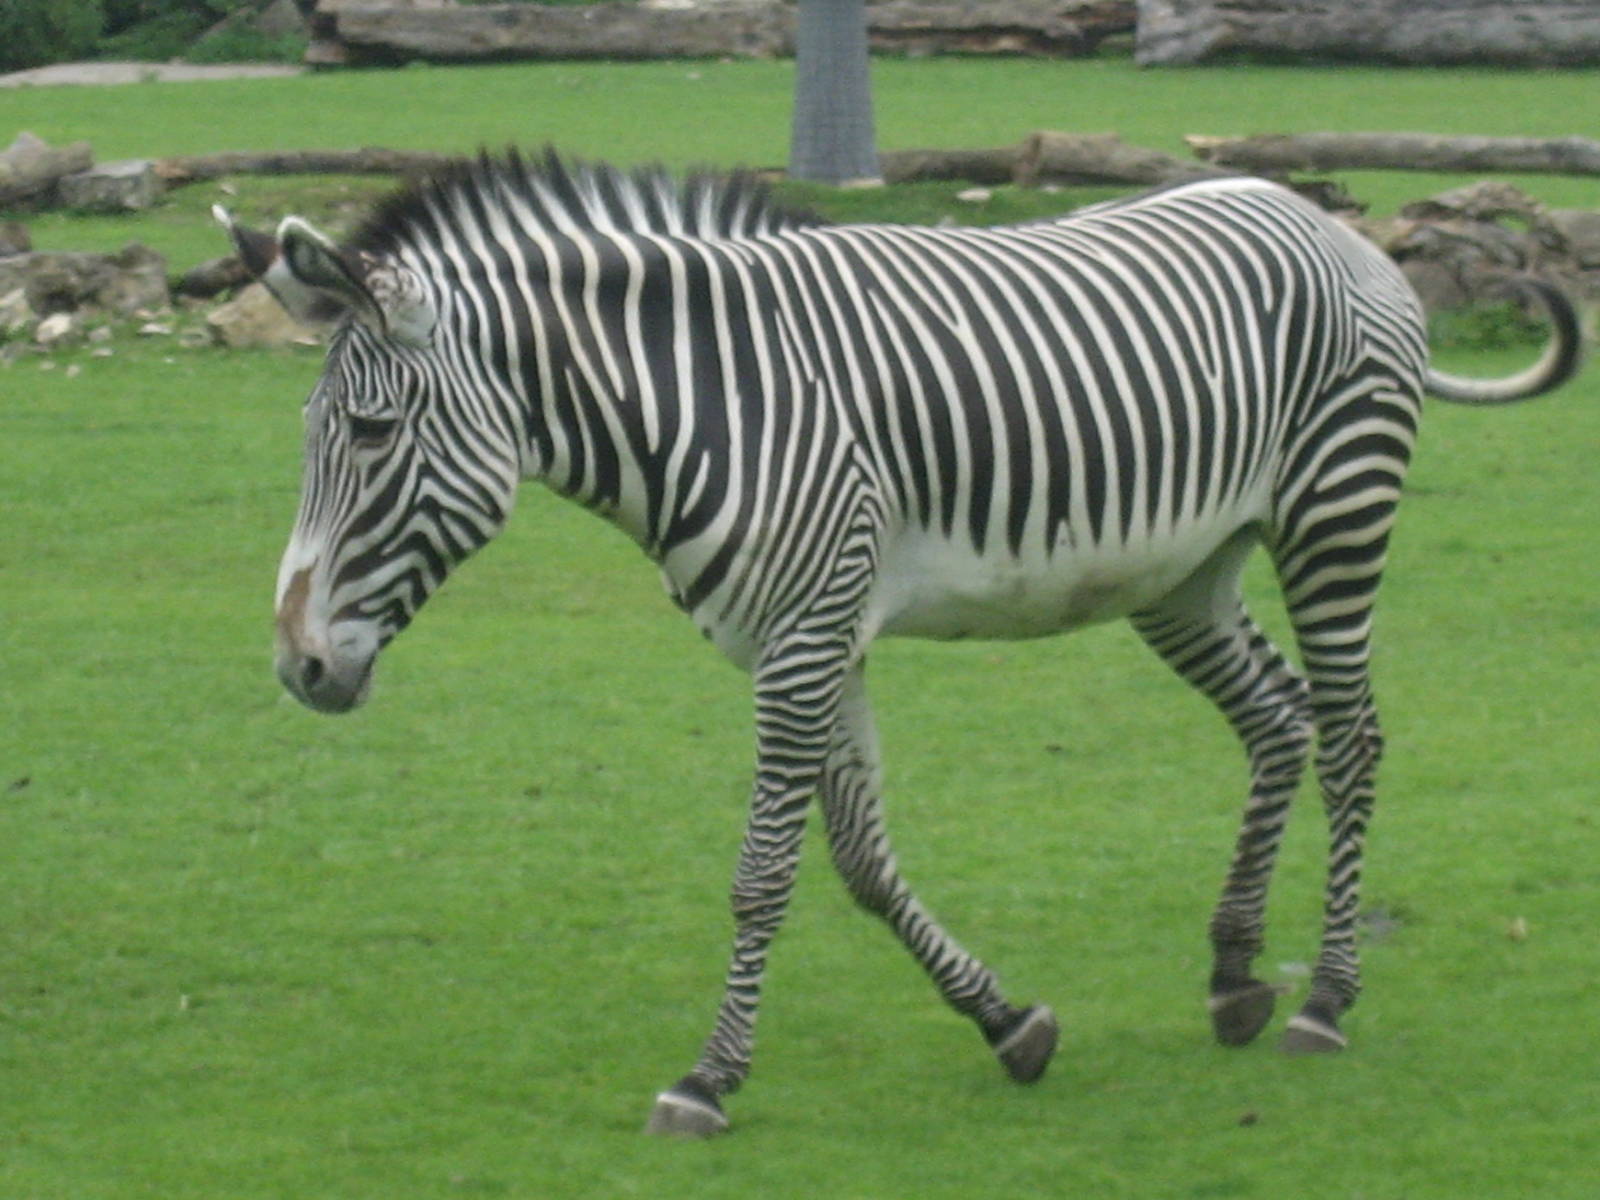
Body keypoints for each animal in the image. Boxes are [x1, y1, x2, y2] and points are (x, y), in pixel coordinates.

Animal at [219, 152, 1581, 1137]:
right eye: (312, 432)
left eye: (373, 432)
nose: (298, 667)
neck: (709, 403)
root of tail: (1319, 218)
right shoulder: (815, 636)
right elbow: (863, 860)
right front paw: (1008, 1022)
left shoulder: (805, 637)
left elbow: (764, 873)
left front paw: (707, 1080)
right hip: (1182, 573)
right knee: (1280, 720)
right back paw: (1238, 973)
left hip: (1335, 508)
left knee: (1351, 735)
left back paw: (1328, 996)